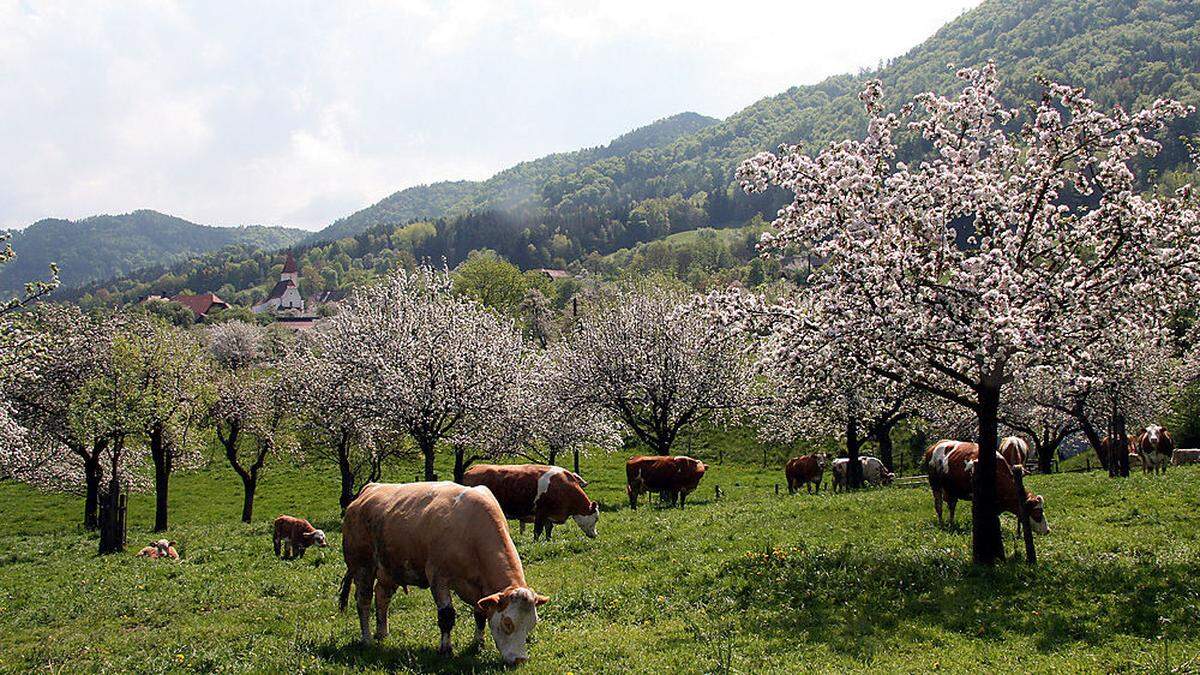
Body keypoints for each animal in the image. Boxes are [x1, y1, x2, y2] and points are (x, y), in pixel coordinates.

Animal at [340, 478, 549, 662]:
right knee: (364, 601)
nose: (520, 659)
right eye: (507, 623)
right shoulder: (438, 576)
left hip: (390, 568)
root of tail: (368, 490)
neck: (470, 530)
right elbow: (447, 615)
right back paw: (367, 638)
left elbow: (480, 614)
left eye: (532, 624)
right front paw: (446, 649)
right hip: (363, 566)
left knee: (382, 596)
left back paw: (382, 633)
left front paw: (478, 643)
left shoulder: (480, 589)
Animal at [463, 458, 604, 538]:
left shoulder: (548, 514)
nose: (595, 535)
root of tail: (473, 468)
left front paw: (548, 542)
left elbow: (548, 529)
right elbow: (538, 531)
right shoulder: (541, 512)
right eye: (596, 518)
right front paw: (536, 544)